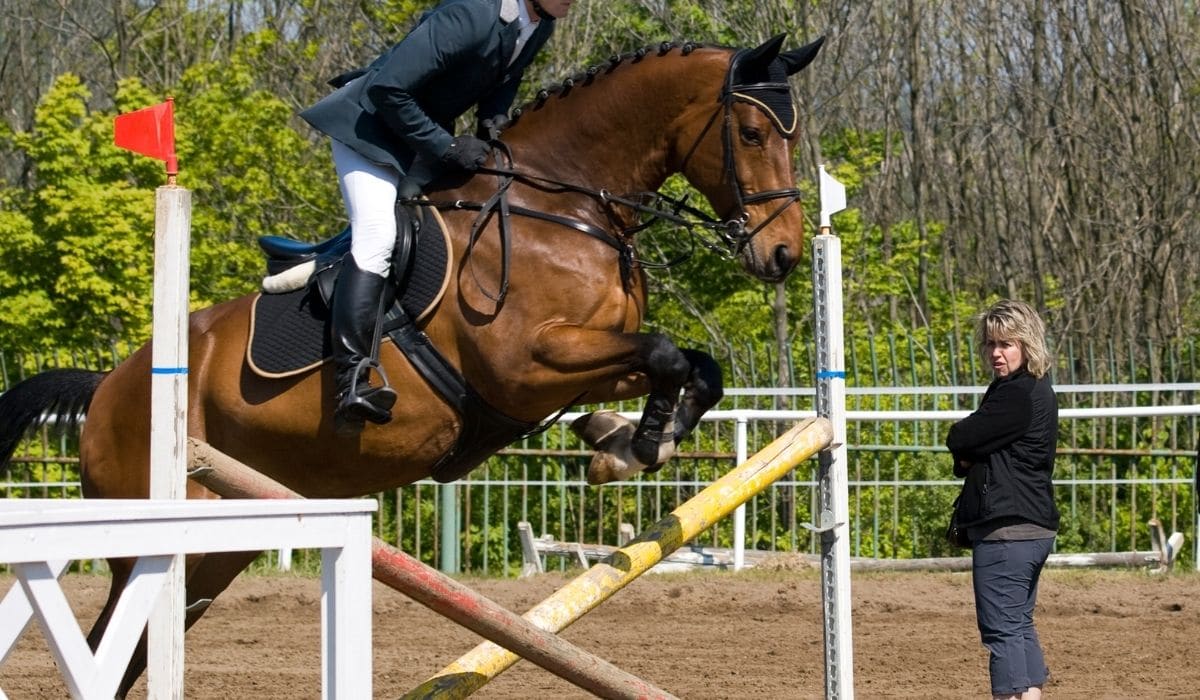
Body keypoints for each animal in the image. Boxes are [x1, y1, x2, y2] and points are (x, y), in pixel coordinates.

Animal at [0, 34, 823, 695]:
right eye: (753, 132)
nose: (783, 253)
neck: (565, 209)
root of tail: (107, 386)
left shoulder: (575, 363)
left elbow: (694, 367)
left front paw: (618, 440)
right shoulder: (527, 365)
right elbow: (662, 353)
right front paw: (635, 446)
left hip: (213, 554)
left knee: (136, 648)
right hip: (150, 535)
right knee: (111, 645)